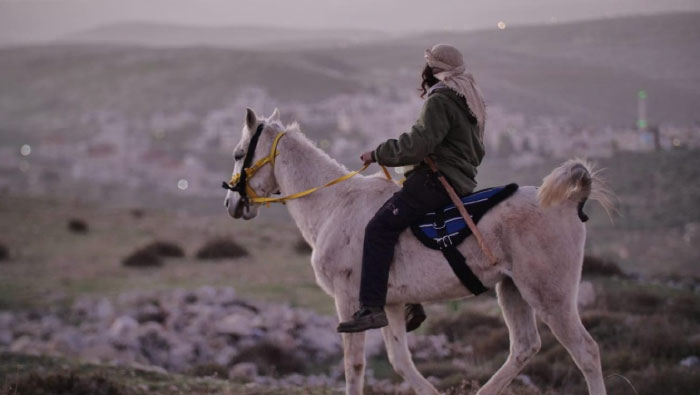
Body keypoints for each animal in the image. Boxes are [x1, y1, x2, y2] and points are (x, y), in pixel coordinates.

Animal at [224, 106, 612, 394]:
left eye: (239, 153)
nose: (231, 203)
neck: (333, 204)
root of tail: (570, 200)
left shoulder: (348, 302)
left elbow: (354, 366)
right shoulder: (391, 305)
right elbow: (400, 362)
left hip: (550, 295)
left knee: (587, 352)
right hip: (512, 289)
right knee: (524, 347)